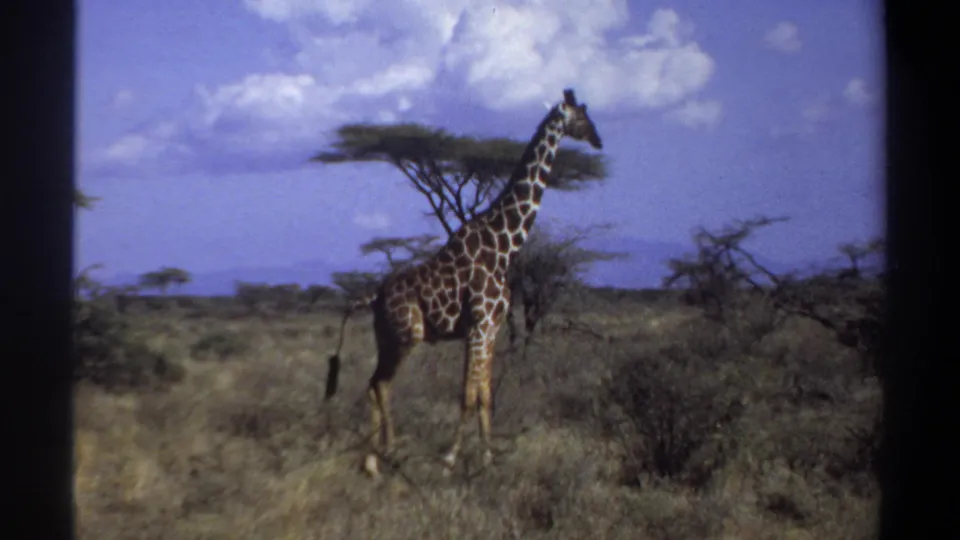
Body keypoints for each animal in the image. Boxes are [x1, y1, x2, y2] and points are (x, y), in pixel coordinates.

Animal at [325, 88, 603, 477]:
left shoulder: (492, 328)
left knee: (373, 383)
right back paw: (387, 452)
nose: (598, 140)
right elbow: (468, 395)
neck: (504, 246)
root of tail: (374, 297)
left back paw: (373, 459)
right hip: (407, 335)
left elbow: (485, 394)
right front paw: (450, 458)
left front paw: (487, 458)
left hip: (387, 336)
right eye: (582, 116)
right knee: (381, 382)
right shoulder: (480, 325)